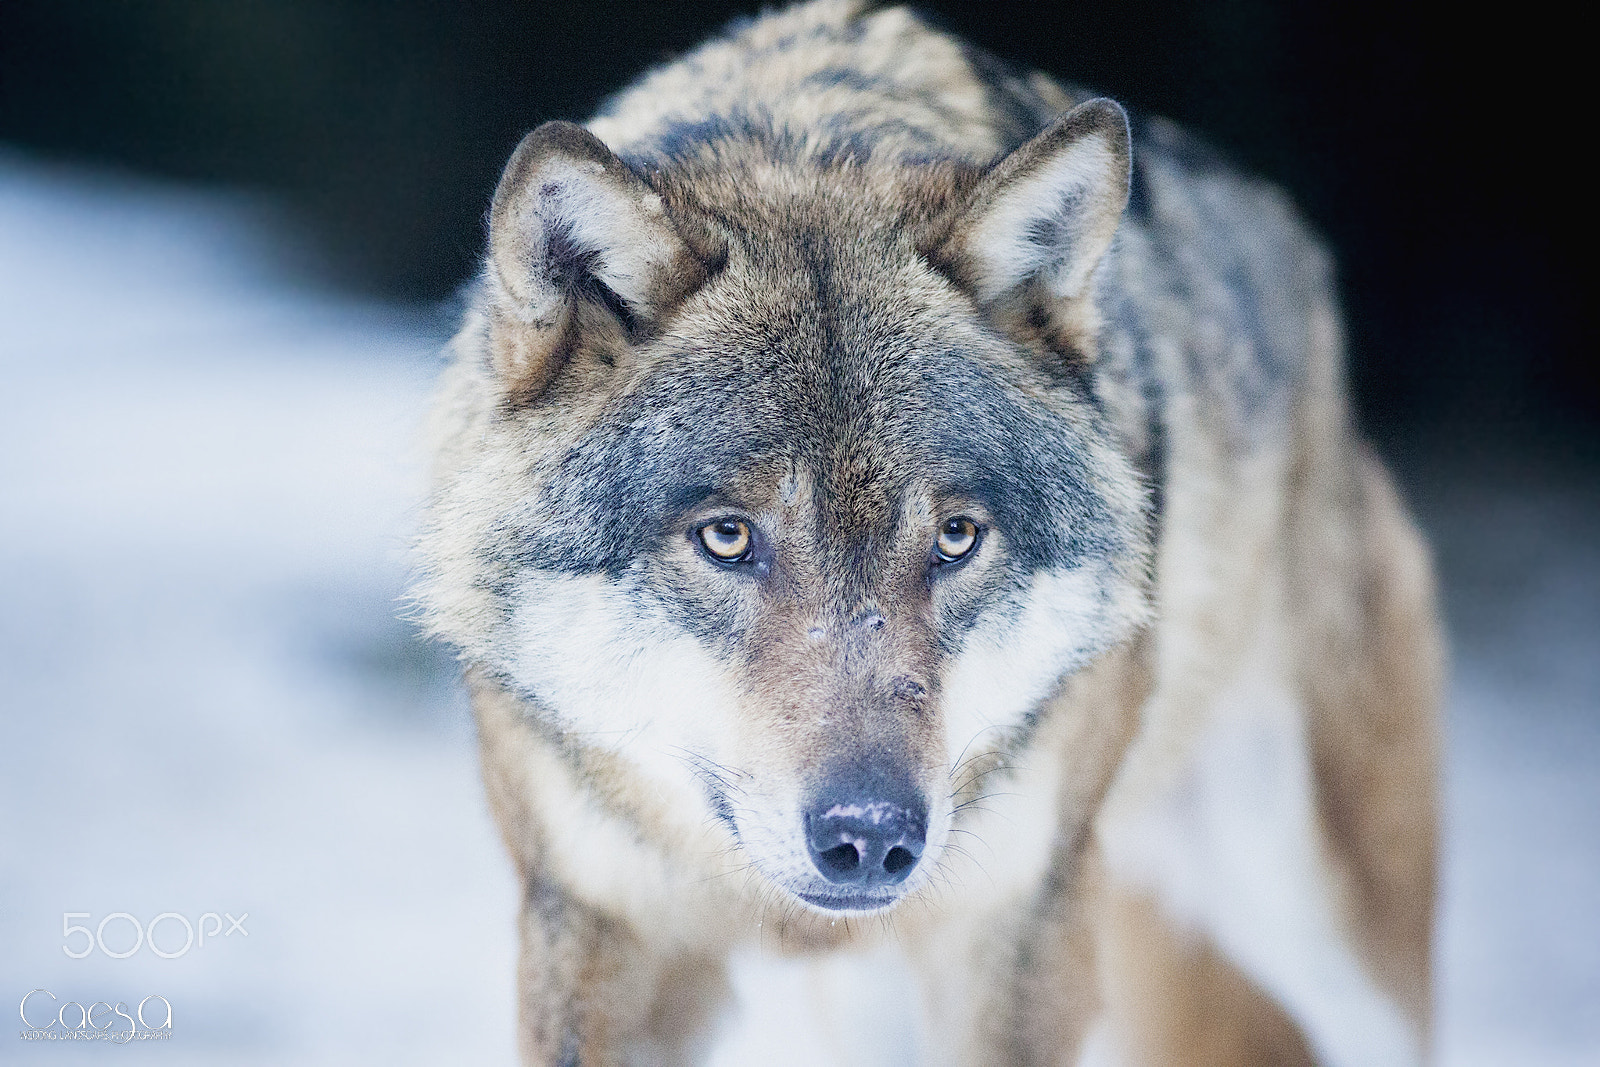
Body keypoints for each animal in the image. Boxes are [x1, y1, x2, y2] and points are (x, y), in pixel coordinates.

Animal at [414, 1, 1441, 1063]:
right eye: (728, 537)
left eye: (955, 536)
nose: (870, 836)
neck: (804, 141)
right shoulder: (594, 923)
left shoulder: (1018, 930)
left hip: (1316, 920)